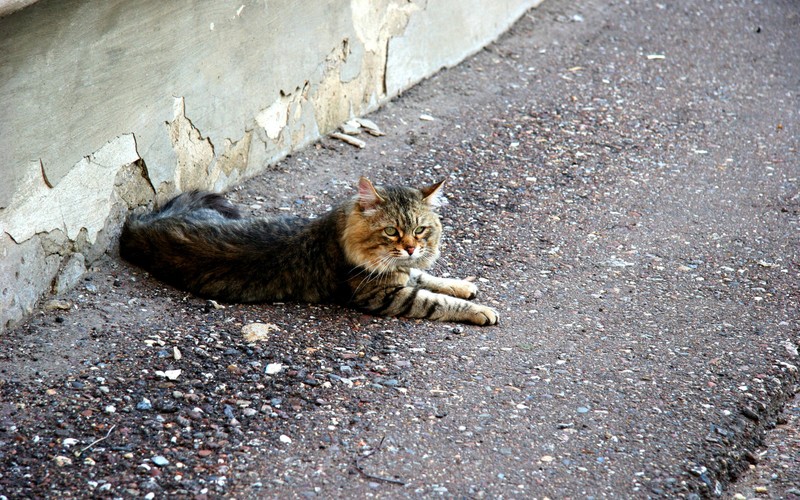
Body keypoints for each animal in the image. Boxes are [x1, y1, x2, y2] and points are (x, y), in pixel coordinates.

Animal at [117, 178, 500, 326]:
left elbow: (429, 276)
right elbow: (438, 301)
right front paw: (480, 310)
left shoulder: (400, 274)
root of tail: (138, 225)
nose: (409, 248)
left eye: (420, 230)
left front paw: (464, 285)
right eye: (391, 231)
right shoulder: (385, 295)